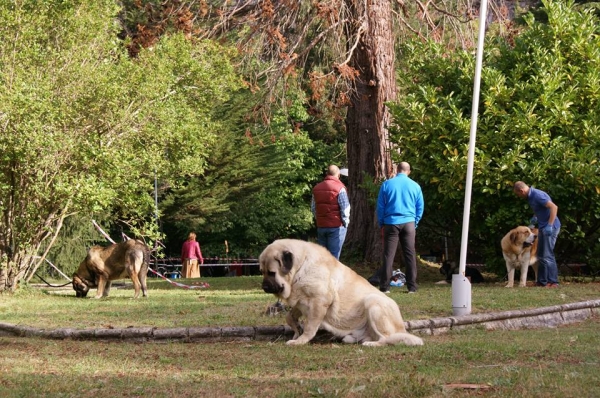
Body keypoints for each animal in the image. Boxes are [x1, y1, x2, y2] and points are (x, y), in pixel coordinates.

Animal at [260, 239, 424, 346]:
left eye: (272, 273)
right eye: (262, 272)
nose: (264, 286)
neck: (299, 269)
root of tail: (402, 329)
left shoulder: (319, 302)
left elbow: (310, 327)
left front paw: (300, 340)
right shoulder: (301, 302)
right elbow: (289, 316)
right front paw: (296, 329)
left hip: (373, 301)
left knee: (386, 339)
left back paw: (372, 344)